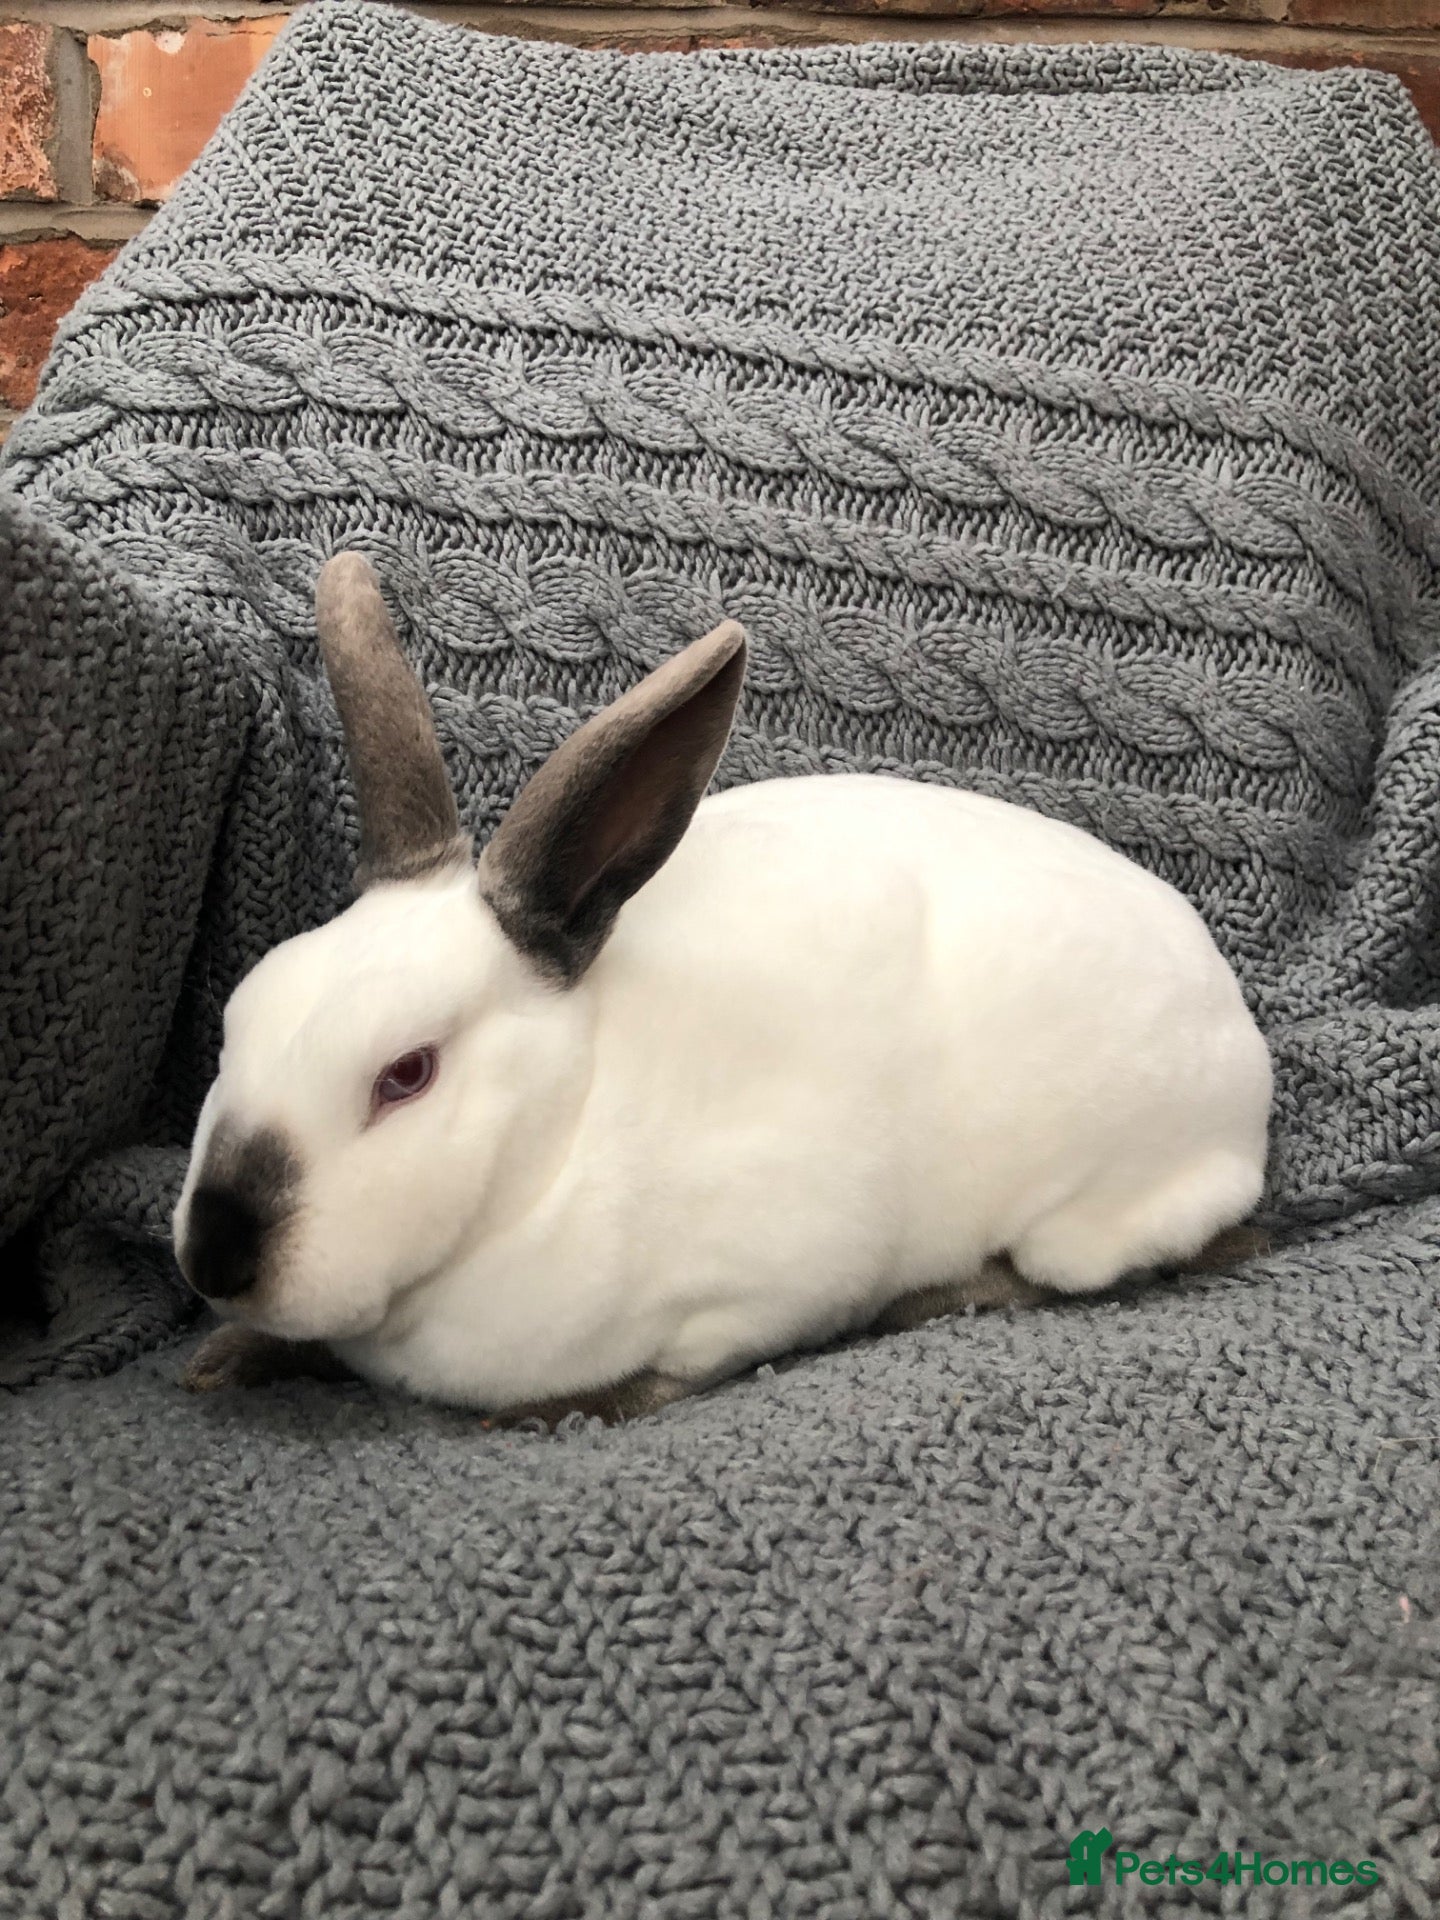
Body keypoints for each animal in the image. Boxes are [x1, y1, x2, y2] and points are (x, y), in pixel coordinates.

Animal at [173, 552, 1272, 1423]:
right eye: (235, 1022)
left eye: (406, 1073)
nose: (215, 1255)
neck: (559, 1132)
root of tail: (1245, 1056)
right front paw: (226, 1357)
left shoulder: (751, 1294)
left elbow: (673, 1374)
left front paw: (552, 1414)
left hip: (1087, 1209)